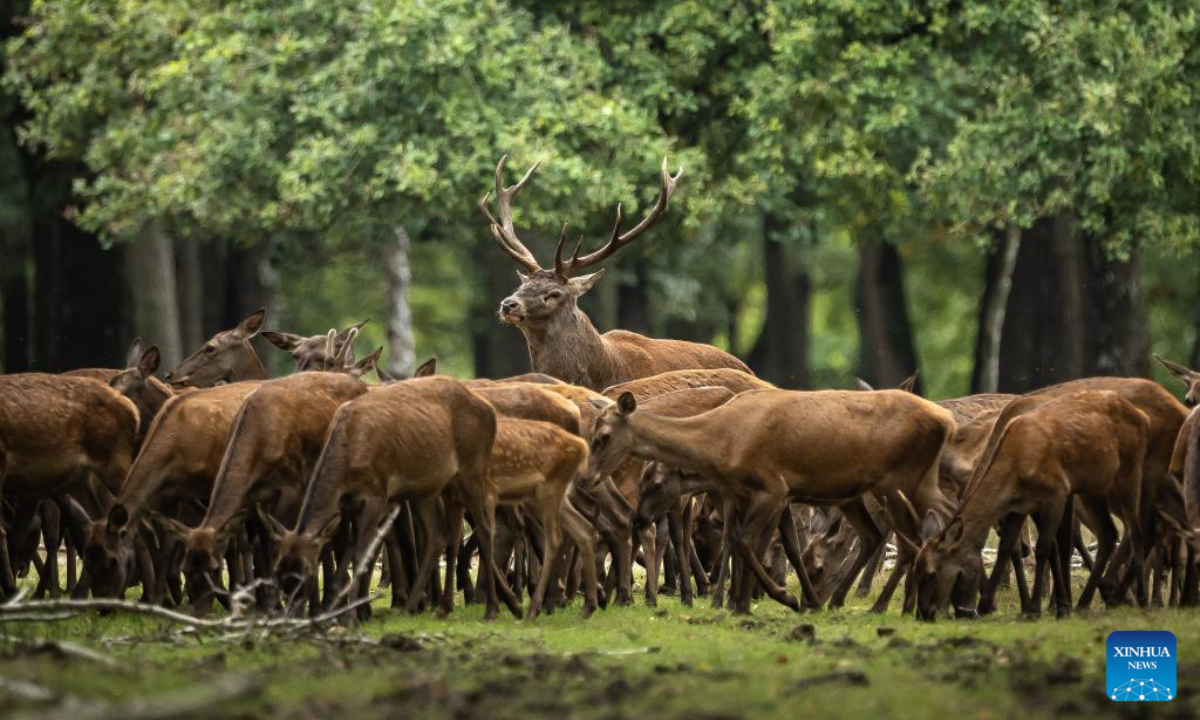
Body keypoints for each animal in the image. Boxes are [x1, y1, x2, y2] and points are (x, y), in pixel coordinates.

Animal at [267, 377, 520, 621]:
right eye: (279, 572)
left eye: (307, 572)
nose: (290, 616)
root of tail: (490, 410)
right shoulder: (350, 505)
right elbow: (348, 548)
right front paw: (334, 610)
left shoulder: (377, 494)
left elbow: (361, 553)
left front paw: (350, 617)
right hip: (434, 487)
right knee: (441, 535)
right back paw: (432, 607)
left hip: (473, 470)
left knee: (484, 528)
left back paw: (492, 609)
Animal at [587, 388, 956, 614]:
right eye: (643, 480)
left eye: (602, 436)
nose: (588, 477)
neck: (722, 443)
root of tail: (946, 421)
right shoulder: (745, 492)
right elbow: (747, 541)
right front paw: (741, 603)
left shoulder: (774, 488)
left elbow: (744, 540)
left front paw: (782, 598)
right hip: (908, 483)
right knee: (911, 527)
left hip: (899, 480)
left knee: (911, 539)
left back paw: (887, 605)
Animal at [914, 390, 1150, 620]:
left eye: (932, 574)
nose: (925, 614)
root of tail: (1142, 416)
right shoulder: (1022, 506)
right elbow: (1013, 547)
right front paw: (1002, 604)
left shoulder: (1055, 496)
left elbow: (1049, 546)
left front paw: (1042, 607)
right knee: (1111, 533)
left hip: (1123, 483)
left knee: (1135, 528)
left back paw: (1130, 596)